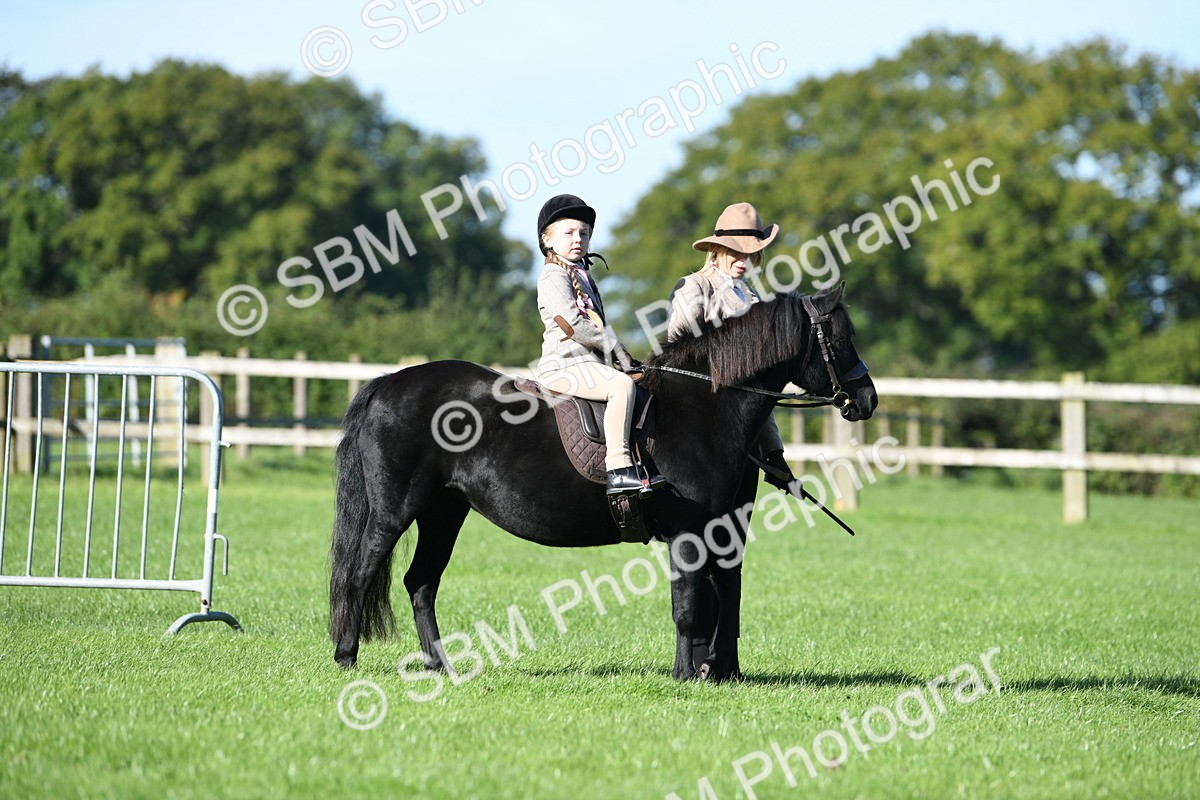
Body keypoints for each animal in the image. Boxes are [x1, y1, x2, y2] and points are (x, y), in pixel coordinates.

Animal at [329, 282, 877, 682]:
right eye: (839, 338)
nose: (867, 399)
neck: (701, 406)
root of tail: (388, 382)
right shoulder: (691, 533)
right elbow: (688, 606)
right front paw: (685, 675)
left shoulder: (717, 531)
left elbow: (711, 599)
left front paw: (706, 671)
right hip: (395, 512)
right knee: (359, 575)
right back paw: (346, 657)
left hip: (443, 513)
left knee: (420, 582)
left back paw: (439, 666)